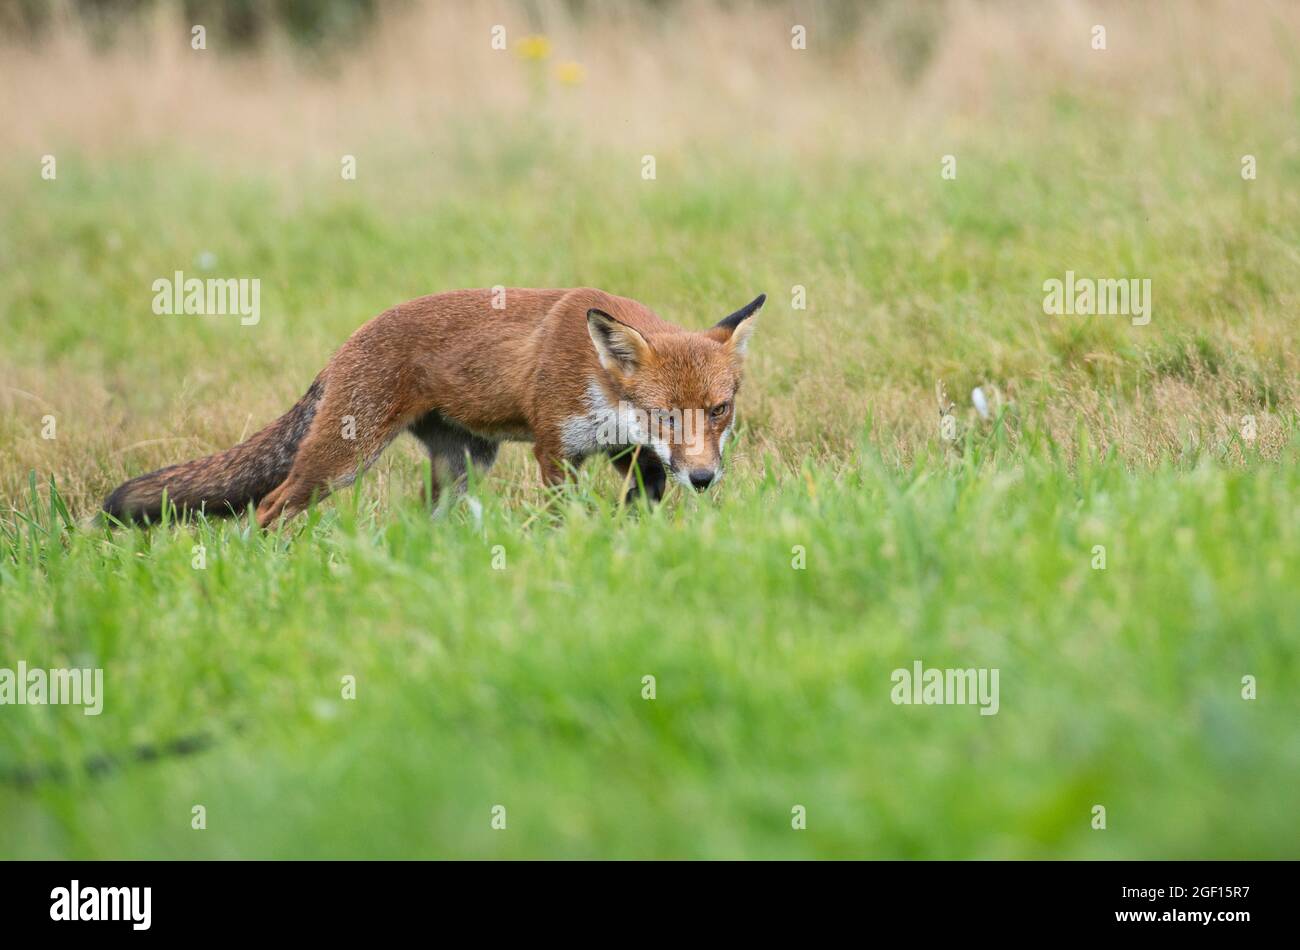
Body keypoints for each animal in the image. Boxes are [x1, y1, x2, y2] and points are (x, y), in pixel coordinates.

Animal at [106, 289, 764, 527]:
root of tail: (346, 344)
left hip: (464, 465)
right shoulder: (557, 449)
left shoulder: (630, 452)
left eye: (719, 410)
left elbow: (643, 496)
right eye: (665, 415)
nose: (704, 478)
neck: (596, 376)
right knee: (270, 504)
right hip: (342, 461)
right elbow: (562, 513)